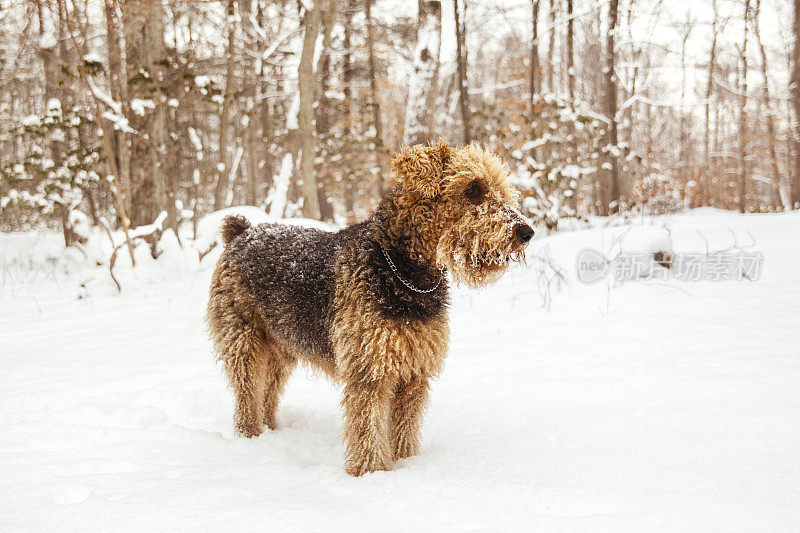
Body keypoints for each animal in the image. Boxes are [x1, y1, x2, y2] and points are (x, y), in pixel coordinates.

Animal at [208, 140, 532, 474]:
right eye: (472, 189)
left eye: (501, 190)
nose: (526, 232)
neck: (405, 274)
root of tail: (241, 233)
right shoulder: (370, 368)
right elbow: (368, 430)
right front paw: (371, 473)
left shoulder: (414, 372)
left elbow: (404, 429)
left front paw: (406, 464)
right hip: (244, 342)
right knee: (247, 397)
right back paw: (251, 439)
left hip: (282, 348)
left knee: (267, 397)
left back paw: (271, 433)